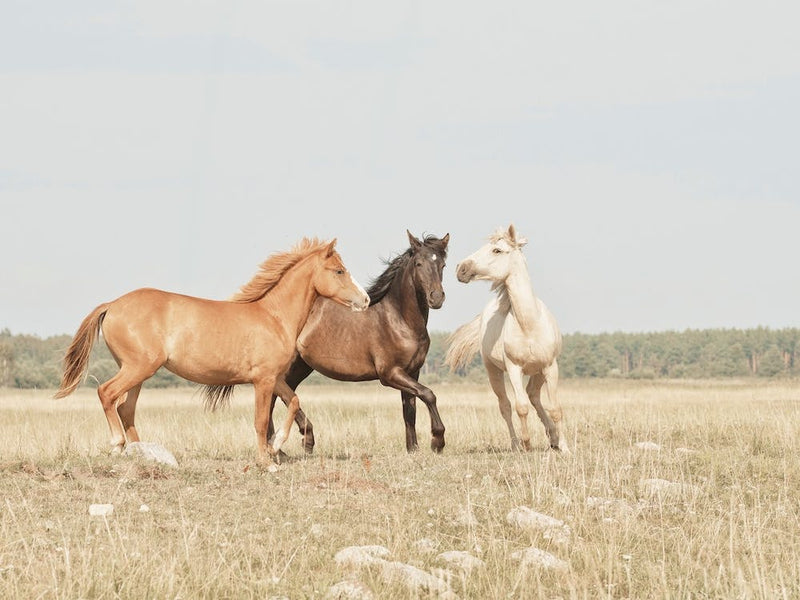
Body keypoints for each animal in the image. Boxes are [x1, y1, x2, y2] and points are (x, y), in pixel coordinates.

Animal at [54, 238, 370, 464]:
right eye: (339, 270)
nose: (365, 300)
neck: (274, 317)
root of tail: (112, 304)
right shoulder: (263, 380)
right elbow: (260, 420)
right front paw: (266, 460)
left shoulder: (275, 378)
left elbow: (293, 401)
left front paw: (277, 445)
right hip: (138, 367)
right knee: (107, 393)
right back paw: (118, 445)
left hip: (138, 372)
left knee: (126, 408)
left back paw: (142, 452)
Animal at [251, 231, 450, 453]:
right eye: (418, 263)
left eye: (442, 265)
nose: (436, 298)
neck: (399, 320)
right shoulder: (390, 373)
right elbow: (428, 394)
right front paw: (437, 441)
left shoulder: (412, 371)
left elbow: (410, 410)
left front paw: (413, 448)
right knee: (275, 397)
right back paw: (293, 443)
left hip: (300, 367)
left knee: (280, 396)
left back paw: (284, 446)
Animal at [445, 224, 568, 452]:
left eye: (497, 250)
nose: (461, 268)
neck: (529, 325)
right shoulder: (514, 368)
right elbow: (521, 407)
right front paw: (526, 444)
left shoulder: (550, 367)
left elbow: (555, 408)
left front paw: (564, 446)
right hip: (493, 371)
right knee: (506, 406)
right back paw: (516, 444)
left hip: (538, 371)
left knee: (533, 395)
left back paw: (553, 438)